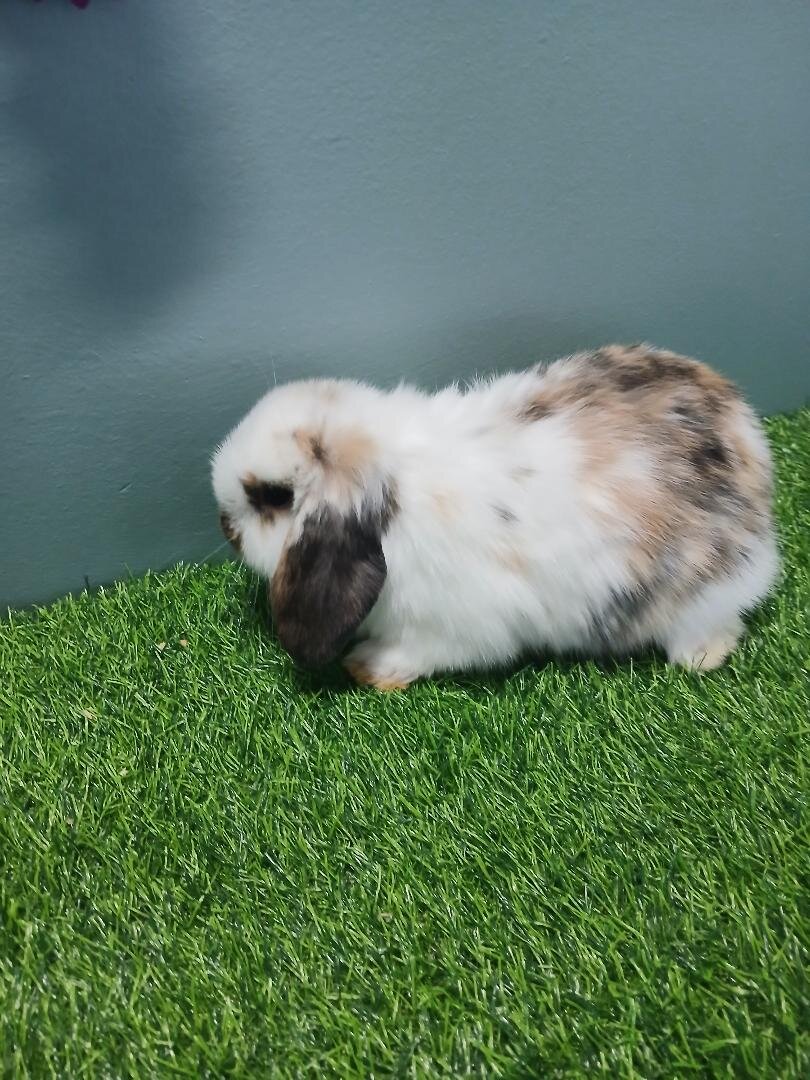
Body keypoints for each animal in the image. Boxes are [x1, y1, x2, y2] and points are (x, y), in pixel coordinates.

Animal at [211, 344, 779, 689]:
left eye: (273, 496)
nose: (225, 527)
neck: (393, 497)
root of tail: (749, 442)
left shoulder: (450, 628)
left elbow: (418, 652)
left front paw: (368, 667)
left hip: (702, 592)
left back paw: (699, 657)